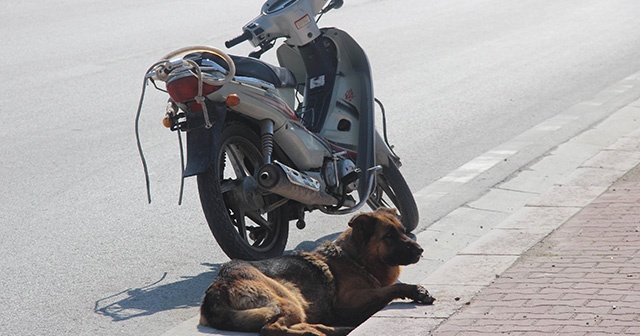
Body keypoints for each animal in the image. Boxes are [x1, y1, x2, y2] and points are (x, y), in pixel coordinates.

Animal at [200, 209, 436, 334]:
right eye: (389, 236)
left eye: (403, 231)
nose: (420, 250)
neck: (355, 258)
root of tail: (217, 285)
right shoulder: (348, 304)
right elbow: (391, 289)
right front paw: (416, 291)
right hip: (288, 297)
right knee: (272, 328)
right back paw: (319, 332)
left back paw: (331, 329)